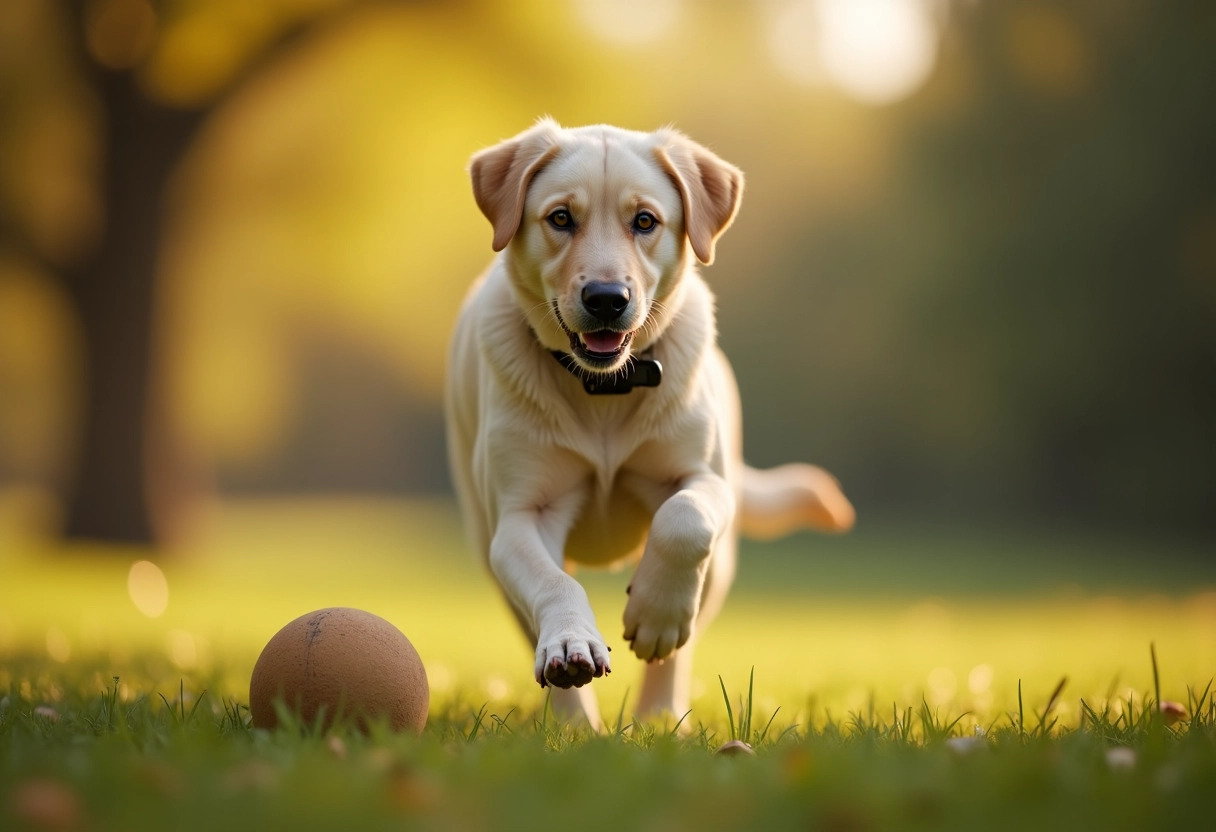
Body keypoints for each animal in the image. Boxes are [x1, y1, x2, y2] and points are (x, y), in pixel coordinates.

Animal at [447, 118, 856, 729]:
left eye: (645, 221)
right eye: (560, 218)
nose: (606, 299)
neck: (604, 389)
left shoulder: (704, 479)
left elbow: (684, 520)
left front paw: (655, 615)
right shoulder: (522, 514)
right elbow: (553, 581)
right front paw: (571, 645)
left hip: (721, 565)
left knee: (683, 638)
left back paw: (659, 715)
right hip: (486, 541)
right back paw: (572, 725)